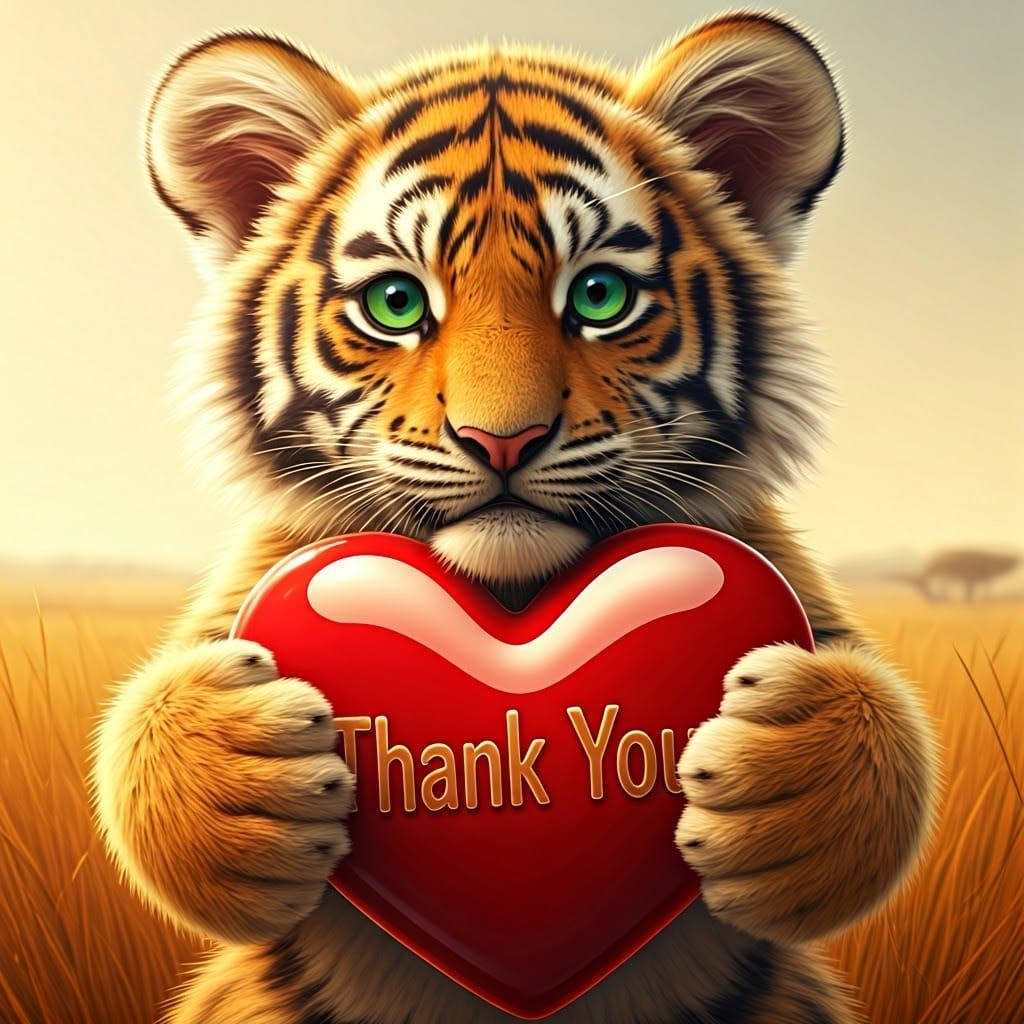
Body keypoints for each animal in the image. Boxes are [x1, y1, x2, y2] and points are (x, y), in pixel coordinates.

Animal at [92, 11, 939, 1024]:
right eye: (396, 303)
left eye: (600, 296)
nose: (504, 440)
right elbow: (144, 734)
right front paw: (241, 776)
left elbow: (884, 726)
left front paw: (785, 774)